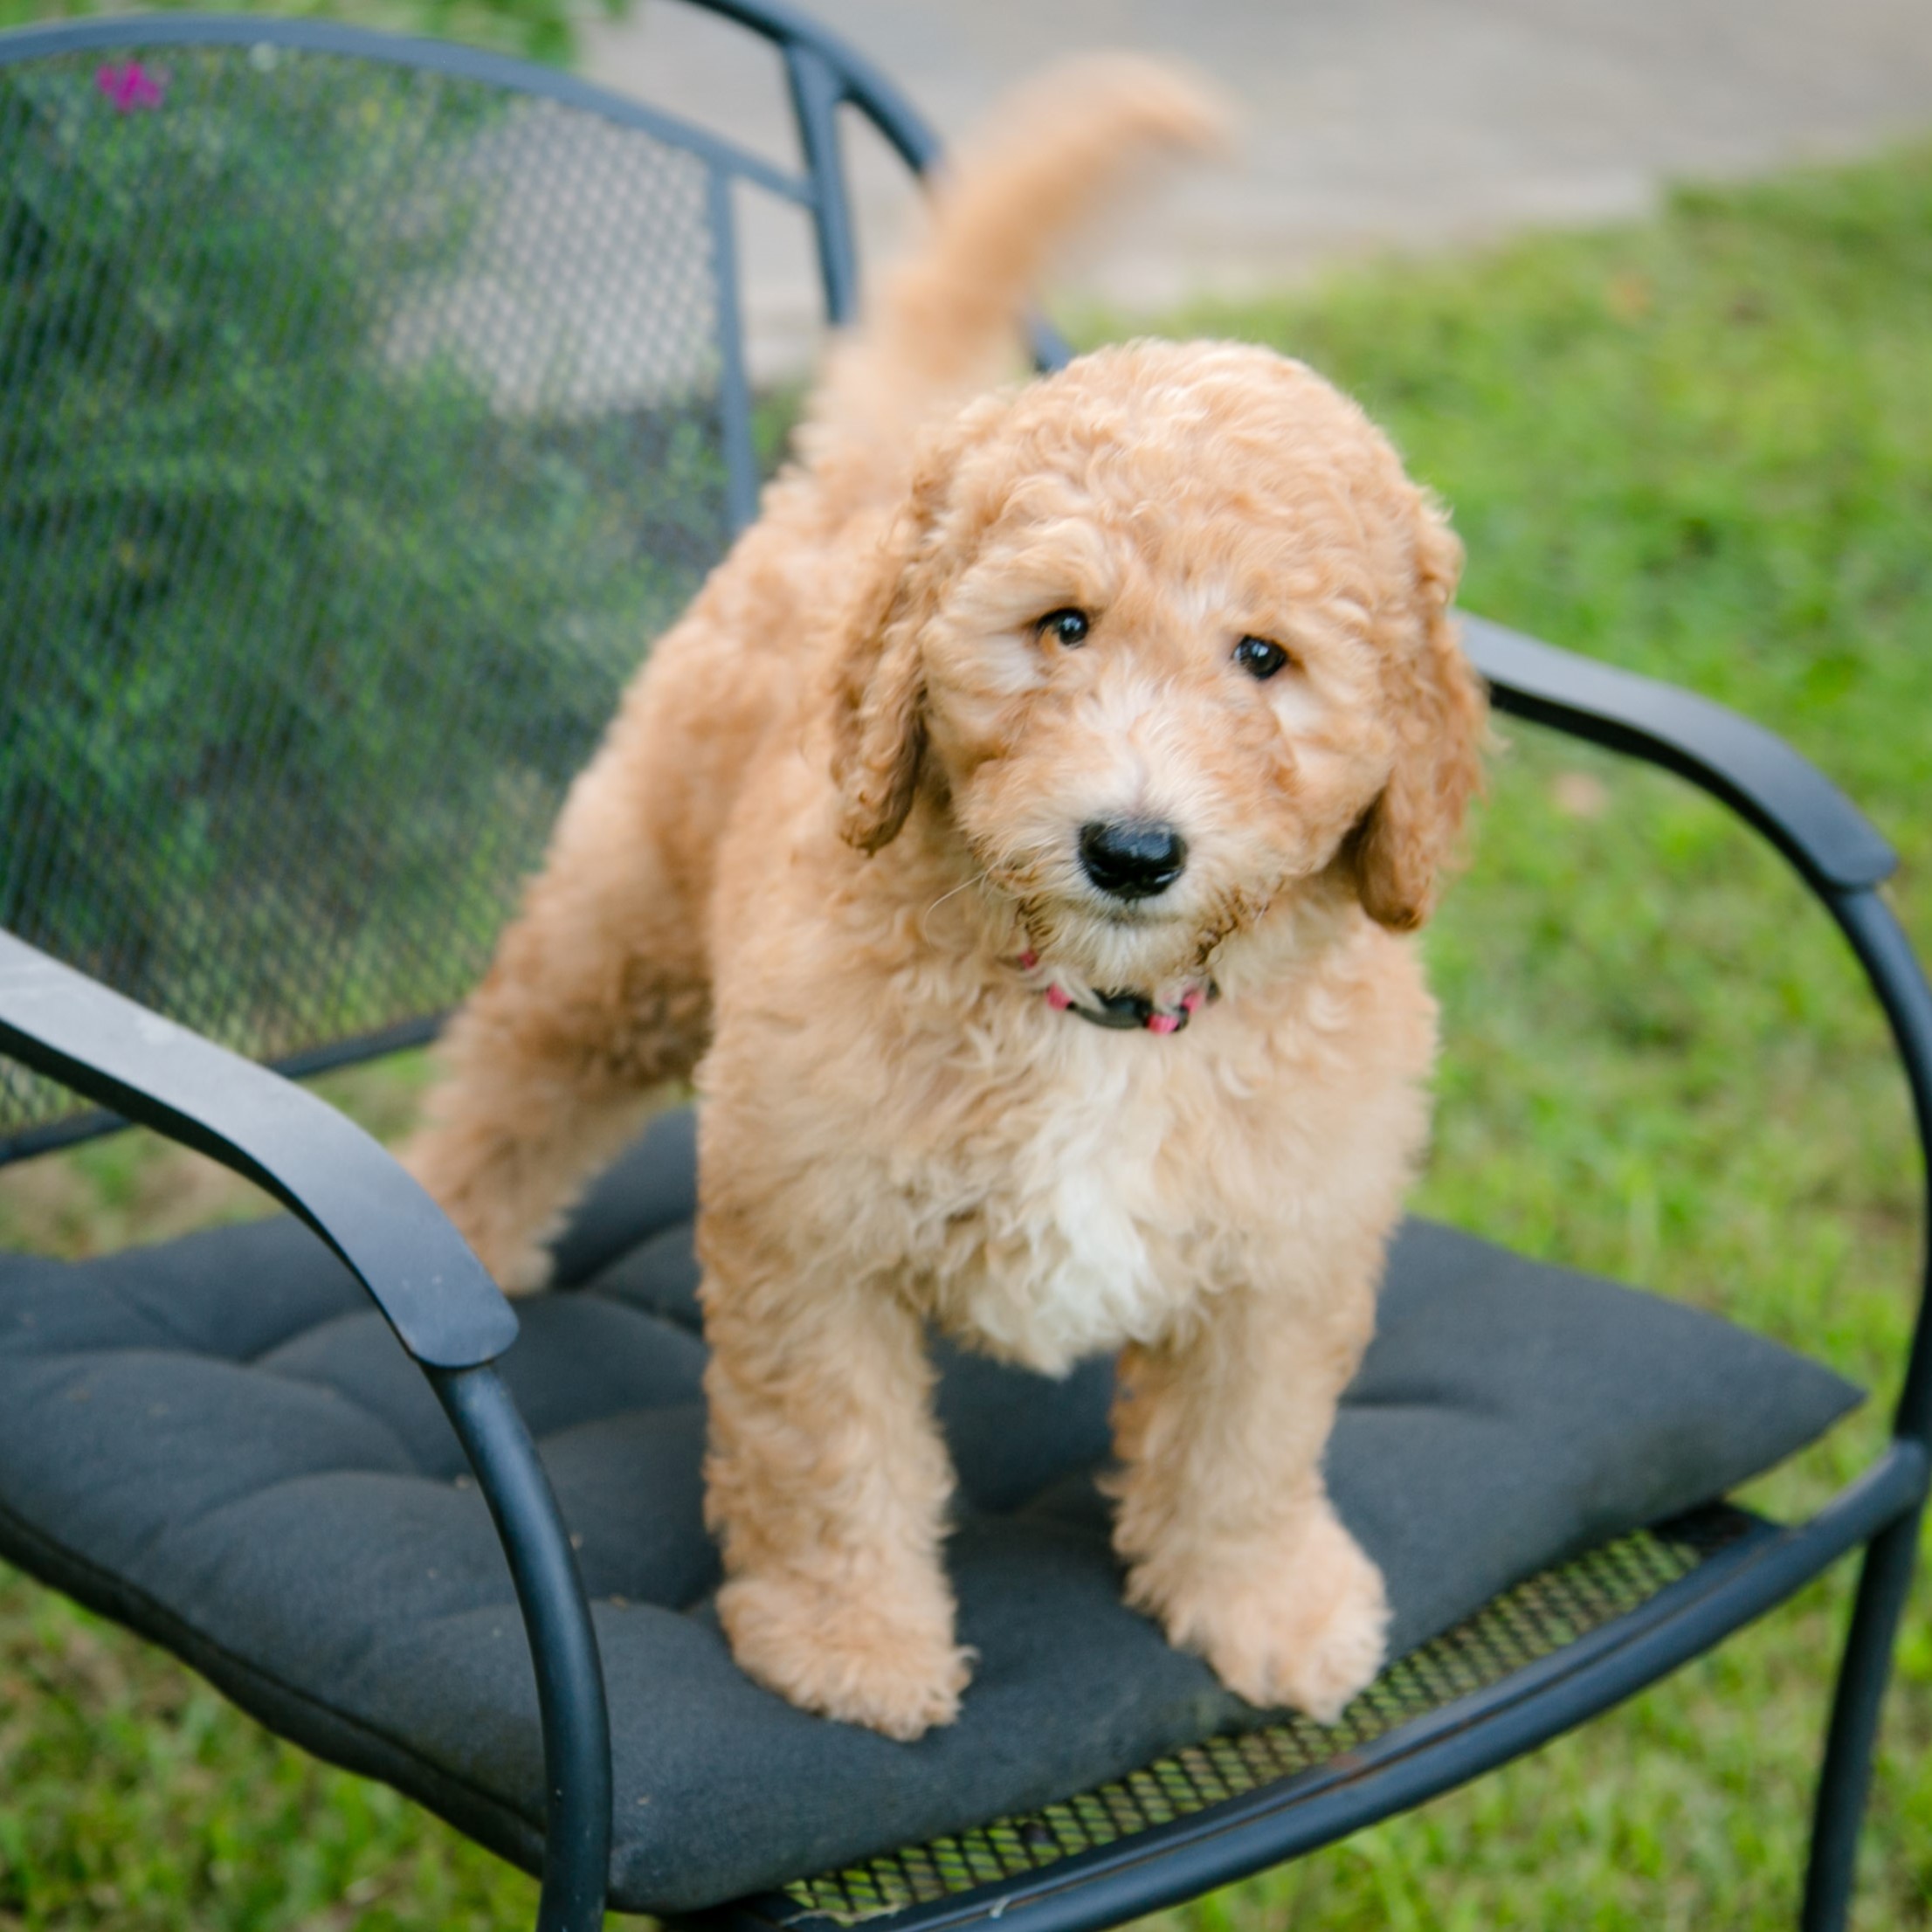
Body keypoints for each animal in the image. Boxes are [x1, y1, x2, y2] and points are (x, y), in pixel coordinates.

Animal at [407, 67, 1483, 1746]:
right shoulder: (809, 1230)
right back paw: (454, 1227)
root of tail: (860, 482)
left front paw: (1262, 1601)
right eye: (1062, 626)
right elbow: (828, 1452)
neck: (1099, 1015)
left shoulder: (1287, 1249)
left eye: (1264, 658)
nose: (1130, 846)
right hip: (629, 926)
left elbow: (1245, 1444)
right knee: (517, 1074)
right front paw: (846, 1641)